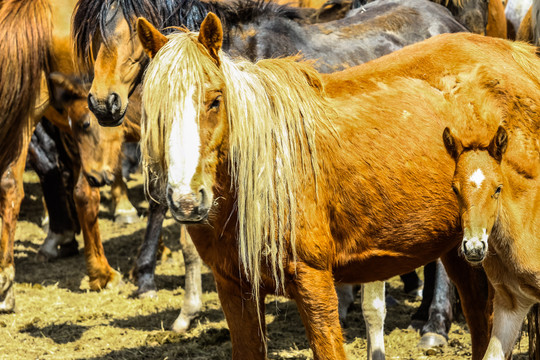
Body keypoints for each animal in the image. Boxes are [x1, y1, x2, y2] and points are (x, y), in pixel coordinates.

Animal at [135, 13, 540, 358]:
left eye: (215, 100)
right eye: (152, 110)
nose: (187, 201)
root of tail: (520, 57)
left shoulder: (314, 282)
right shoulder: (235, 288)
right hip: (465, 254)